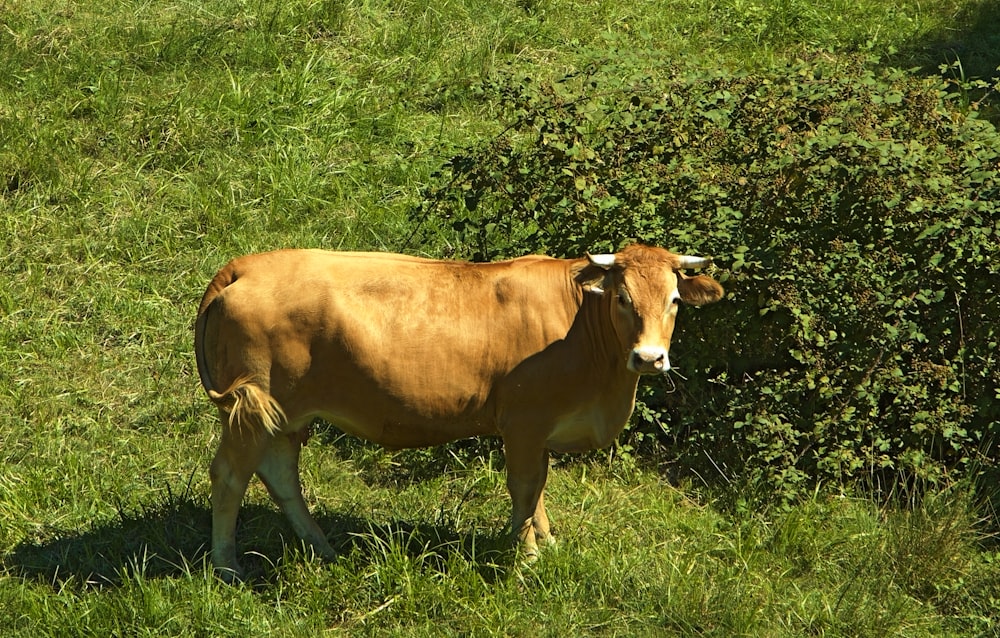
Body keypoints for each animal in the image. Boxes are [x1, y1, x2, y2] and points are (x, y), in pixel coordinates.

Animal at [195, 244, 724, 580]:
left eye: (674, 300)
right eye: (622, 298)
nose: (650, 358)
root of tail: (247, 265)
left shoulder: (538, 428)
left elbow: (539, 489)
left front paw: (547, 543)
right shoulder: (525, 422)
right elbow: (525, 488)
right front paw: (527, 556)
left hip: (284, 415)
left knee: (280, 474)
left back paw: (322, 548)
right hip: (251, 408)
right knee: (230, 476)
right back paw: (228, 566)